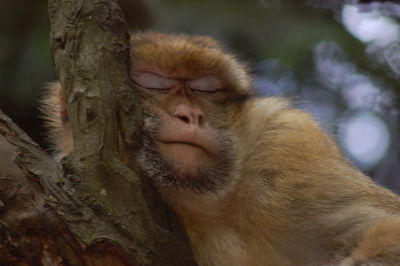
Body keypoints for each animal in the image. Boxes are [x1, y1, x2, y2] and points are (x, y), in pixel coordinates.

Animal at [42, 32, 400, 264]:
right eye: (155, 83)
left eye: (206, 89)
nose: (191, 115)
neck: (212, 204)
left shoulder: (290, 143)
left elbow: (387, 225)